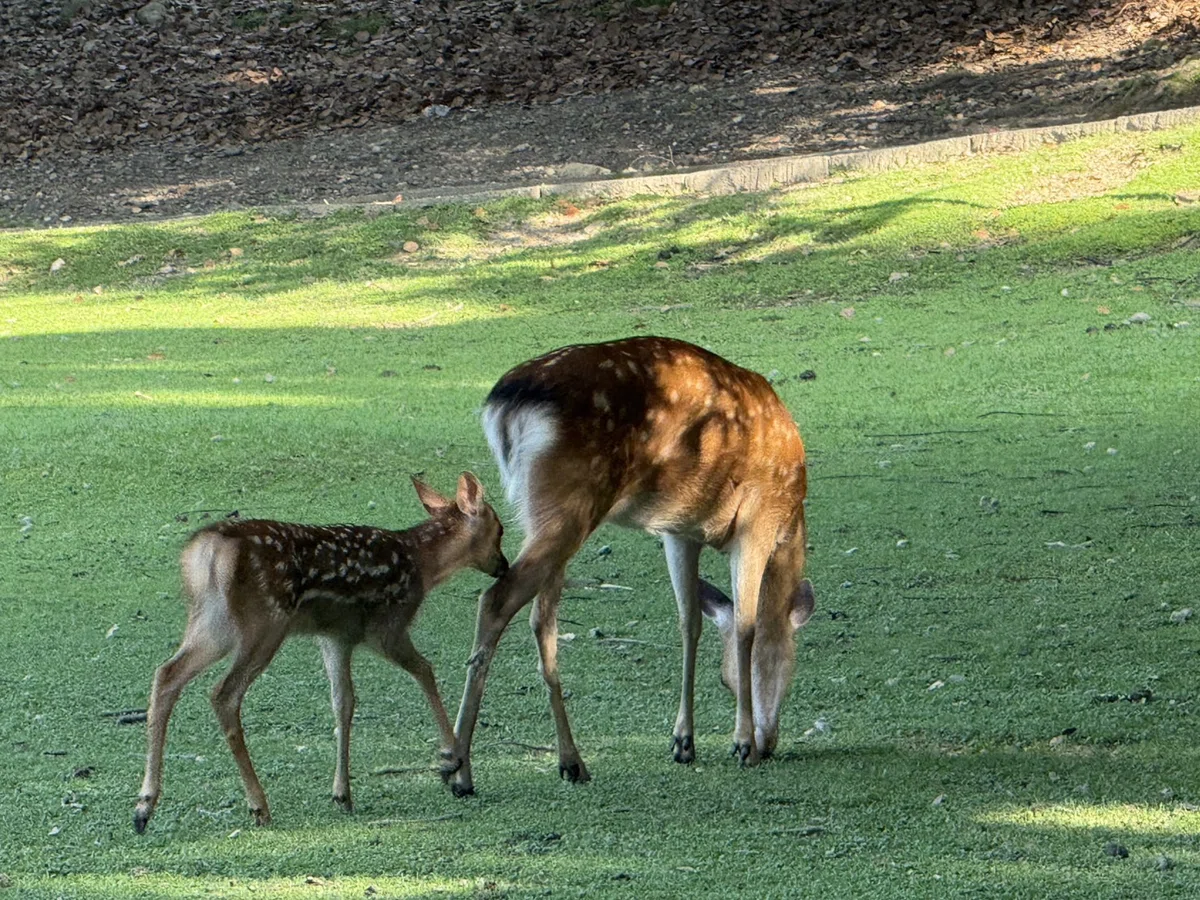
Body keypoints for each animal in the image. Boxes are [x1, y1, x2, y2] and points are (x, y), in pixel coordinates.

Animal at [133, 472, 507, 833]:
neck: (423, 565)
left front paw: (342, 794)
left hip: (213, 623)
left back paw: (143, 807)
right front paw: (451, 759)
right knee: (223, 693)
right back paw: (258, 806)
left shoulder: (335, 637)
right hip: (265, 621)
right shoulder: (387, 626)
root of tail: (208, 549)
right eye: (500, 529)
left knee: (166, 674)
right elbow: (425, 670)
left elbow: (343, 702)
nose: (503, 566)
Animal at [443, 336, 814, 798]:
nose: (769, 741)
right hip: (572, 501)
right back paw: (460, 771)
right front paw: (742, 744)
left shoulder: (680, 530)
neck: (791, 518)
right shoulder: (757, 519)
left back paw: (571, 761)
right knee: (497, 600)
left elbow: (689, 622)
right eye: (789, 666)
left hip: (538, 511)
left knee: (541, 621)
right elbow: (747, 627)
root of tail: (505, 403)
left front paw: (683, 742)